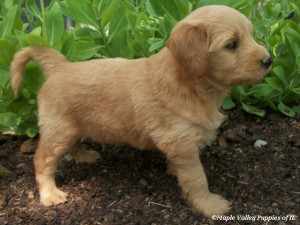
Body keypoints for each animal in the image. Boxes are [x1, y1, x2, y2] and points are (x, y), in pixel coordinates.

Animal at [10, 4, 270, 216]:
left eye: (251, 35)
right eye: (232, 45)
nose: (268, 60)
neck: (189, 84)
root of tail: (59, 66)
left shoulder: (179, 144)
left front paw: (174, 172)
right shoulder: (183, 143)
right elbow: (197, 178)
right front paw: (210, 205)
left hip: (71, 127)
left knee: (72, 145)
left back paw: (84, 156)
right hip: (58, 130)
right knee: (42, 161)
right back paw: (50, 194)